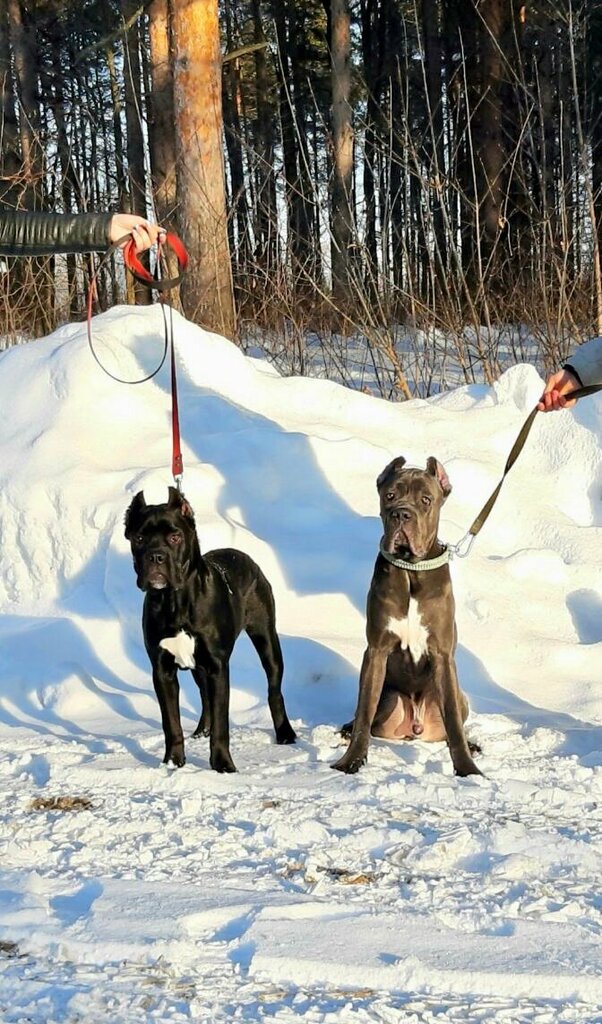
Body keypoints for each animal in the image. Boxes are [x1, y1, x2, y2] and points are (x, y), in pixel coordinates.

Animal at [125, 487, 296, 772]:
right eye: (138, 538)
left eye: (175, 537)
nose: (156, 556)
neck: (175, 602)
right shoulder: (162, 670)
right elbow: (171, 723)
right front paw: (173, 762)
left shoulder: (218, 666)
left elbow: (221, 722)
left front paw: (223, 765)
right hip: (198, 665)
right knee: (204, 694)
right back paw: (201, 730)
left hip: (266, 639)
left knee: (274, 689)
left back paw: (285, 733)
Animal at [332, 456, 481, 777]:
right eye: (389, 495)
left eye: (426, 499)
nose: (402, 514)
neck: (411, 570)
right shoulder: (376, 651)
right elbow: (364, 711)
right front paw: (350, 761)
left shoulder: (442, 654)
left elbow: (452, 721)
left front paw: (468, 768)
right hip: (389, 697)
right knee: (365, 715)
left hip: (460, 696)